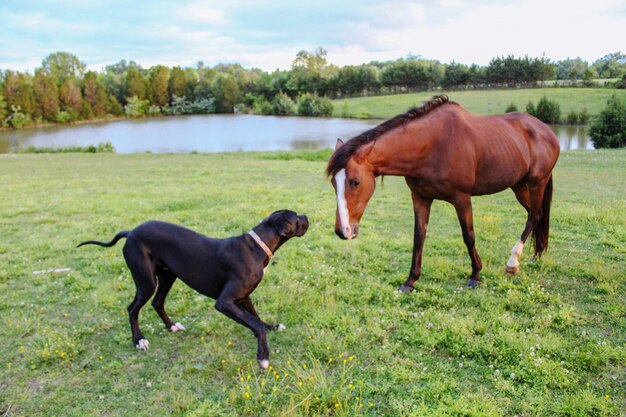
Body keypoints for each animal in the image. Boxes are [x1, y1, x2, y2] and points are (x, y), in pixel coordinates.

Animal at [78, 210, 308, 368]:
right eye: (296, 217)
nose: (306, 215)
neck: (257, 246)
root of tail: (131, 232)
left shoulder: (243, 297)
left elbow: (256, 318)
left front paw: (271, 327)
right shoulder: (225, 302)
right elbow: (255, 325)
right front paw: (263, 357)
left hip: (168, 276)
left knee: (157, 302)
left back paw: (171, 326)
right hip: (146, 281)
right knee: (133, 308)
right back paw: (139, 340)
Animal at [324, 94, 560, 290]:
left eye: (355, 181)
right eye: (334, 184)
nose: (343, 231)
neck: (432, 144)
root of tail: (546, 130)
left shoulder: (461, 198)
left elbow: (469, 236)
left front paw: (475, 275)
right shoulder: (420, 198)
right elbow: (419, 238)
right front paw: (410, 281)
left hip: (536, 182)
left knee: (534, 216)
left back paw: (513, 262)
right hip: (518, 185)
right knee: (536, 215)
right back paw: (536, 254)